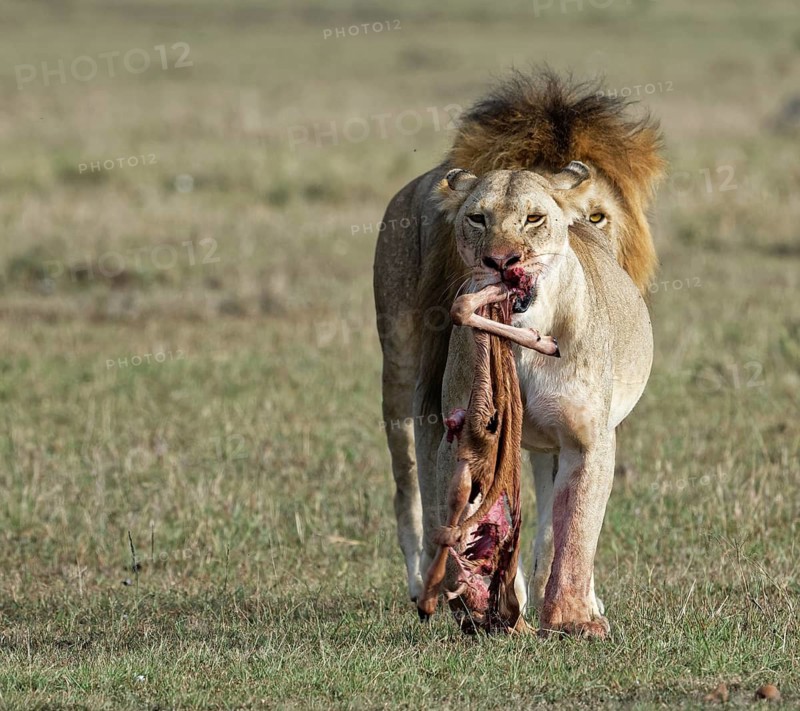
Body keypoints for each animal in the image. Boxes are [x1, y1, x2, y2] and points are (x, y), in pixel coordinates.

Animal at [373, 71, 664, 634]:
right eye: (477, 219)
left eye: (534, 219)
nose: (503, 260)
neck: (526, 340)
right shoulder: (456, 426)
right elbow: (457, 510)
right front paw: (477, 596)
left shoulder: (587, 439)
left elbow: (573, 531)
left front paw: (573, 617)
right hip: (400, 375)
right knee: (408, 484)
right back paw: (425, 584)